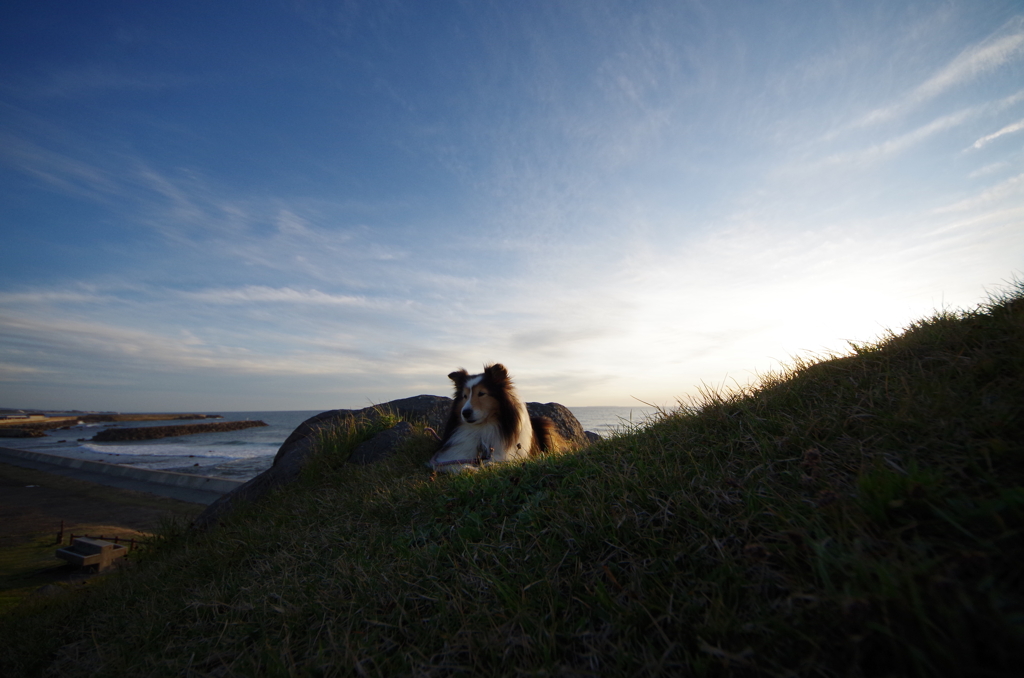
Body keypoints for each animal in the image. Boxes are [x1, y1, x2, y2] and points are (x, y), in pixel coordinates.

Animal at [425, 366, 557, 473]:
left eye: (481, 393)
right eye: (464, 396)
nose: (465, 413)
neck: (484, 427)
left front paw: (490, 464)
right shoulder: (451, 455)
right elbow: (449, 464)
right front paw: (467, 468)